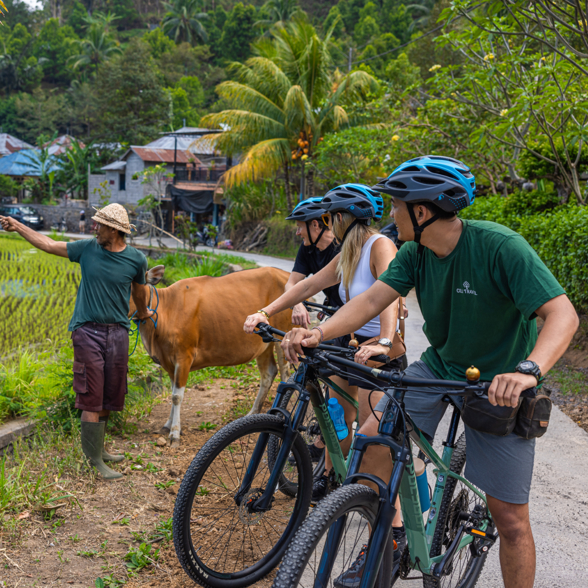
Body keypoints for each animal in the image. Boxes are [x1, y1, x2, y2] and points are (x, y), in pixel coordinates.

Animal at [130, 266, 292, 446]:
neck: (167, 311)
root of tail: (284, 273)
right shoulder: (168, 361)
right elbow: (173, 392)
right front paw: (167, 424)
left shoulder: (185, 356)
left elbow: (177, 396)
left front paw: (175, 433)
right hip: (264, 344)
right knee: (268, 373)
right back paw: (252, 413)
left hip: (284, 334)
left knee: (285, 374)